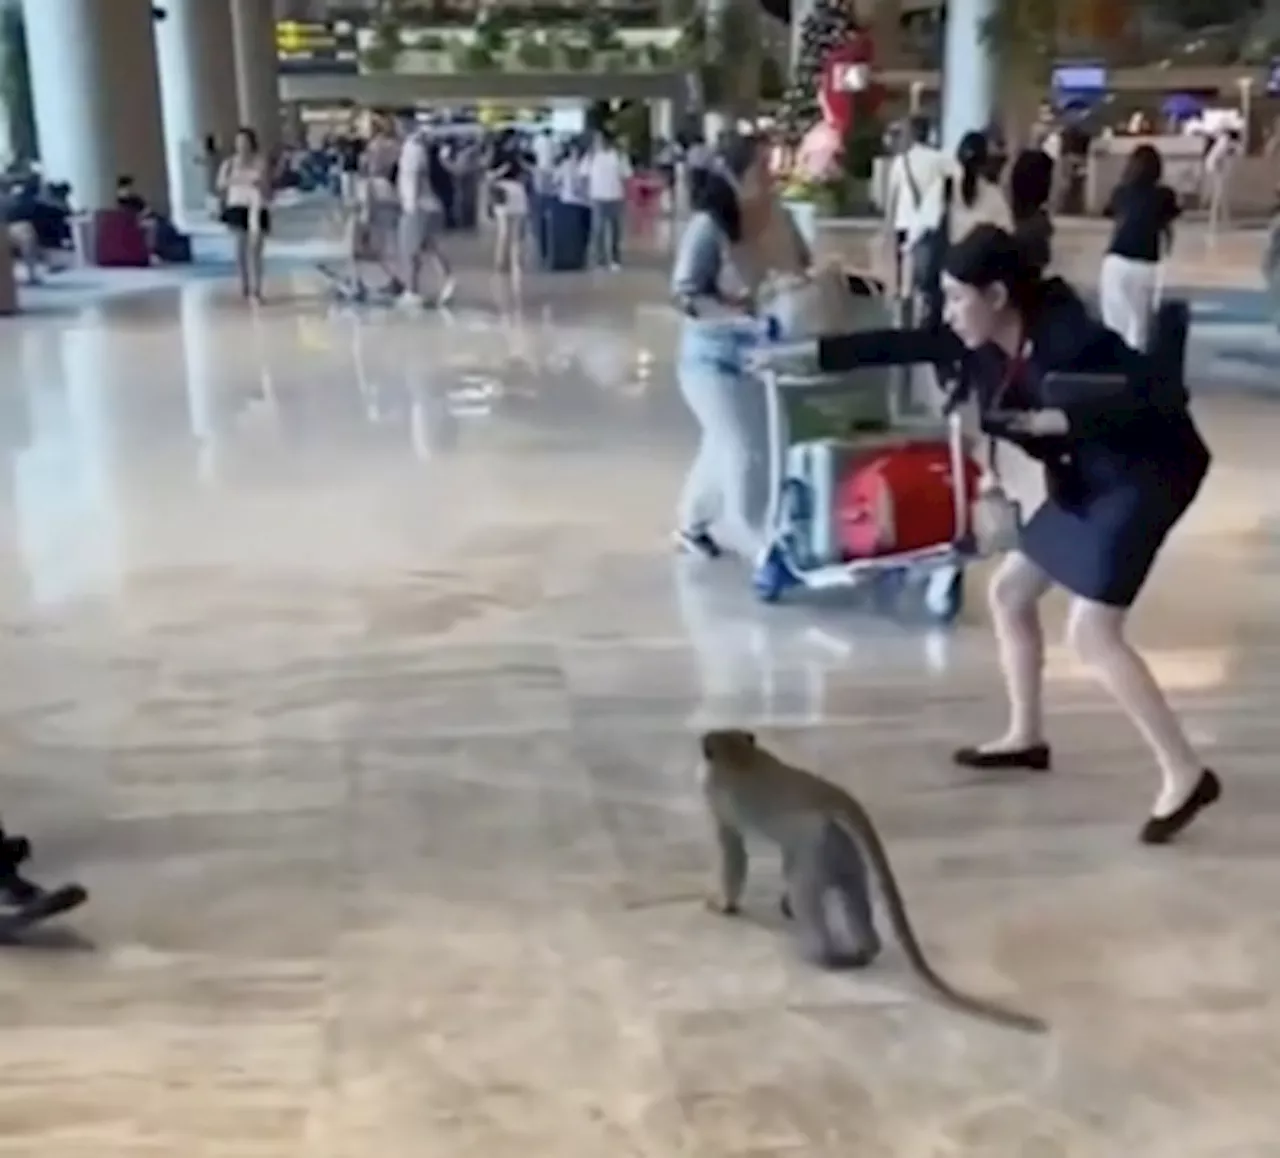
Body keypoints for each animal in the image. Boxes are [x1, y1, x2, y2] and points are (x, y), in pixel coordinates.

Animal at [701, 726, 1049, 1033]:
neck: (738, 752)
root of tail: (831, 795)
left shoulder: (716, 799)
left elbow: (733, 851)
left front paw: (724, 904)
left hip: (816, 843)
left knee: (804, 889)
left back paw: (825, 956)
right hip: (840, 846)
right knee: (852, 890)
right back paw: (866, 949)